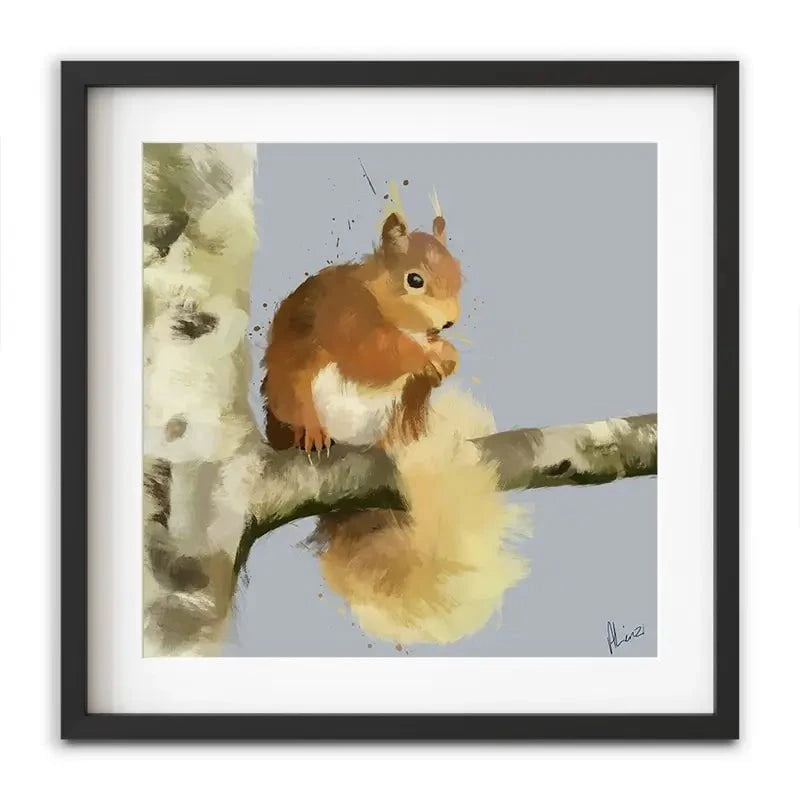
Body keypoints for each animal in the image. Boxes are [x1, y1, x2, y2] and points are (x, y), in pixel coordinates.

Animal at [260, 208, 528, 645]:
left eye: (459, 273)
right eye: (414, 280)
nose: (449, 323)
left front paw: (446, 357)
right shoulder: (346, 317)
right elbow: (374, 353)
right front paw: (427, 353)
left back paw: (390, 441)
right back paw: (312, 433)